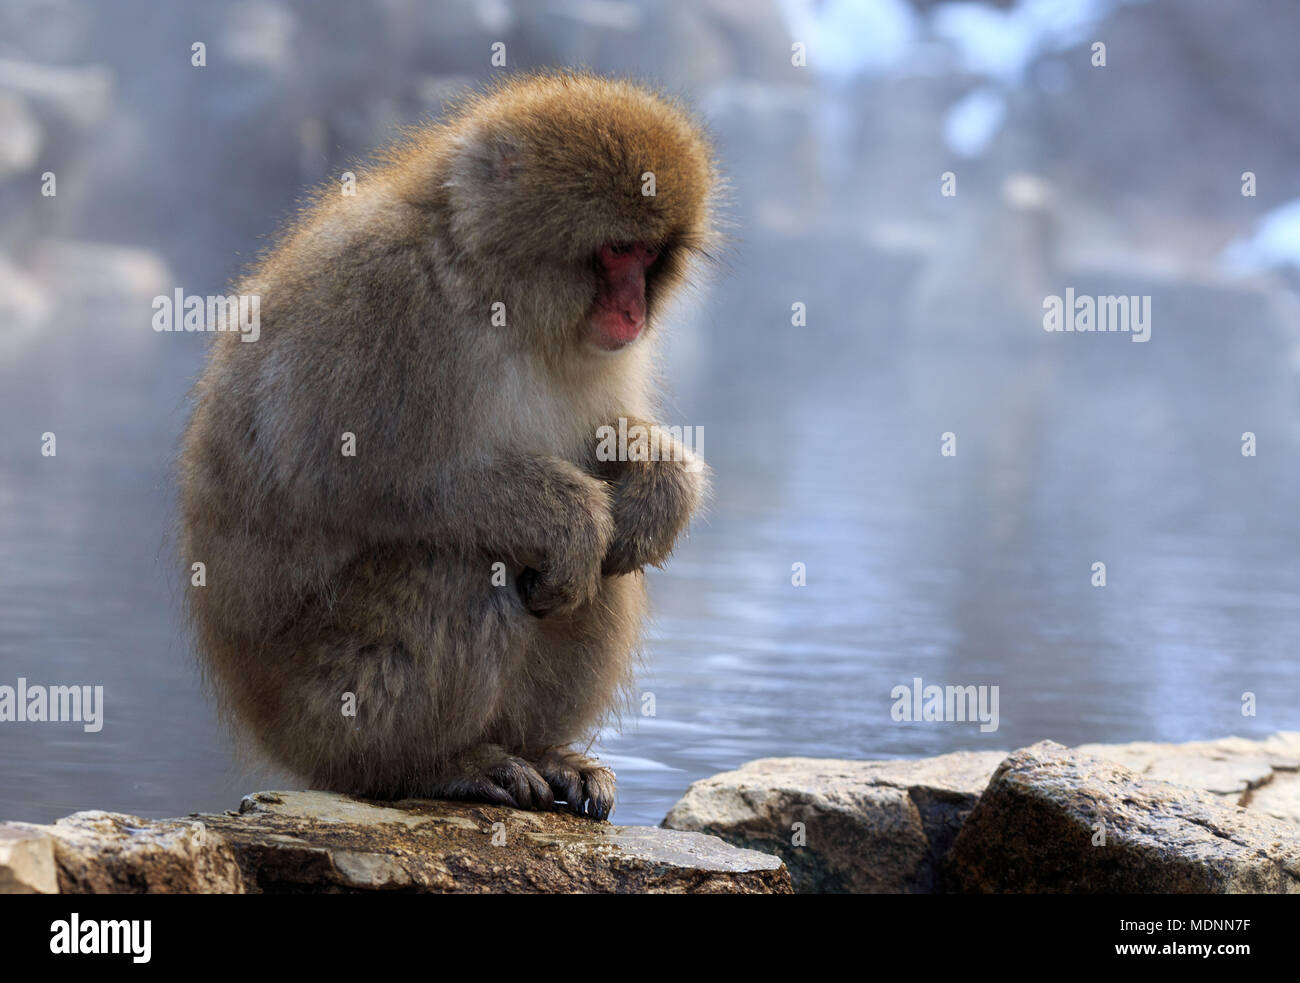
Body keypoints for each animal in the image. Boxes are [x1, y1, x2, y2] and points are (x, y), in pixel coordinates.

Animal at [176, 72, 717, 816]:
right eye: (615, 251)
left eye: (652, 255)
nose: (633, 310)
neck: (494, 291)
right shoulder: (377, 293)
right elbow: (351, 478)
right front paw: (572, 516)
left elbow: (610, 438)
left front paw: (662, 487)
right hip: (322, 703)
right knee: (459, 564)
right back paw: (429, 764)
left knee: (606, 574)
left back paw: (541, 750)